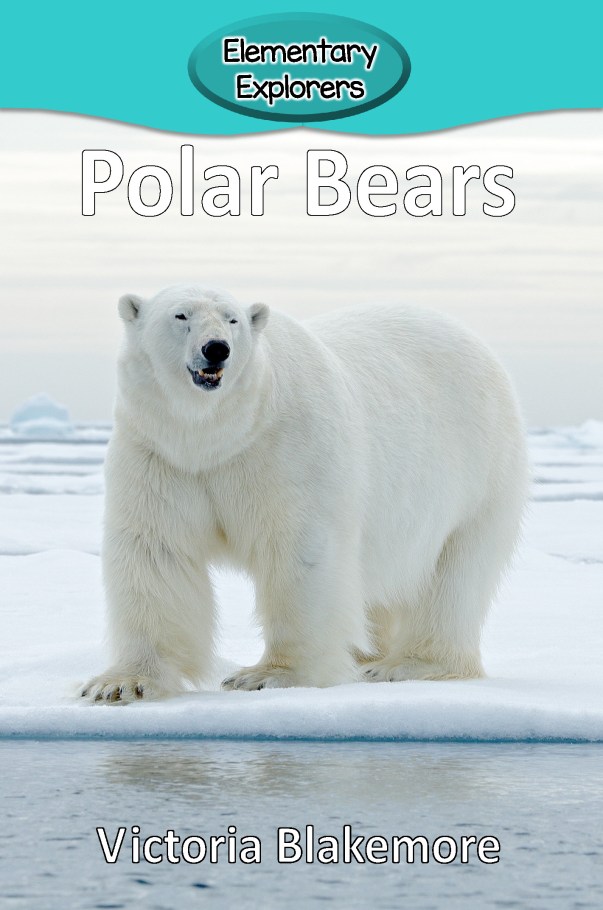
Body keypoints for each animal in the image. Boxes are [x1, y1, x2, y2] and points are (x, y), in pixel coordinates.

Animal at [80, 285, 528, 703]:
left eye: (231, 319)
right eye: (180, 315)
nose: (217, 349)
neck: (218, 435)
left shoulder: (286, 449)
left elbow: (300, 552)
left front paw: (268, 675)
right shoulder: (161, 456)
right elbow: (157, 551)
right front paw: (120, 683)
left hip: (479, 474)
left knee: (454, 576)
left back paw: (404, 665)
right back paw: (367, 656)